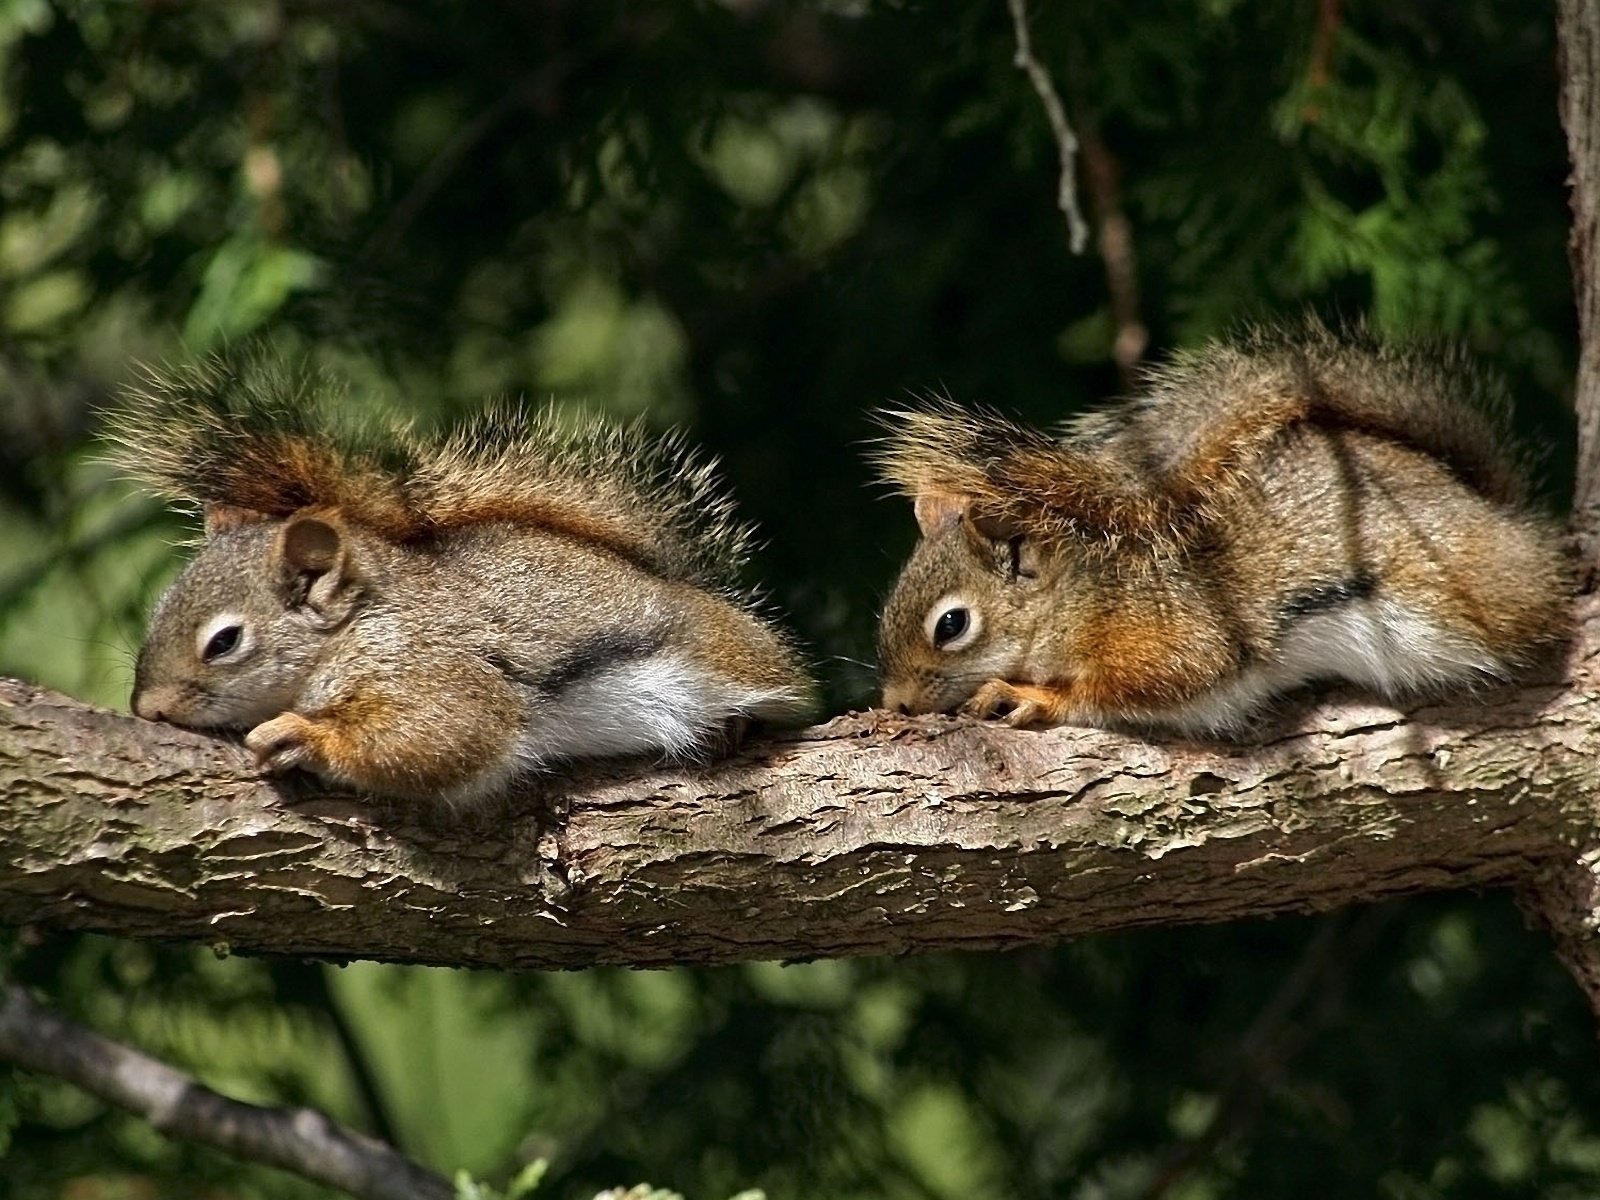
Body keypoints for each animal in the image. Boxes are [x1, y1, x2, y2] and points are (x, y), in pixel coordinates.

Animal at [111, 356, 819, 809]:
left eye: (224, 642)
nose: (147, 710)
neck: (352, 629)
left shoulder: (431, 665)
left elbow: (452, 730)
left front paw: (304, 736)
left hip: (732, 657)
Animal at [870, 320, 1568, 732]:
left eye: (951, 625)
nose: (895, 703)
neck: (1081, 593)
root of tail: (1500, 513)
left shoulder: (1171, 633)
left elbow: (1148, 684)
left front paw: (1030, 696)